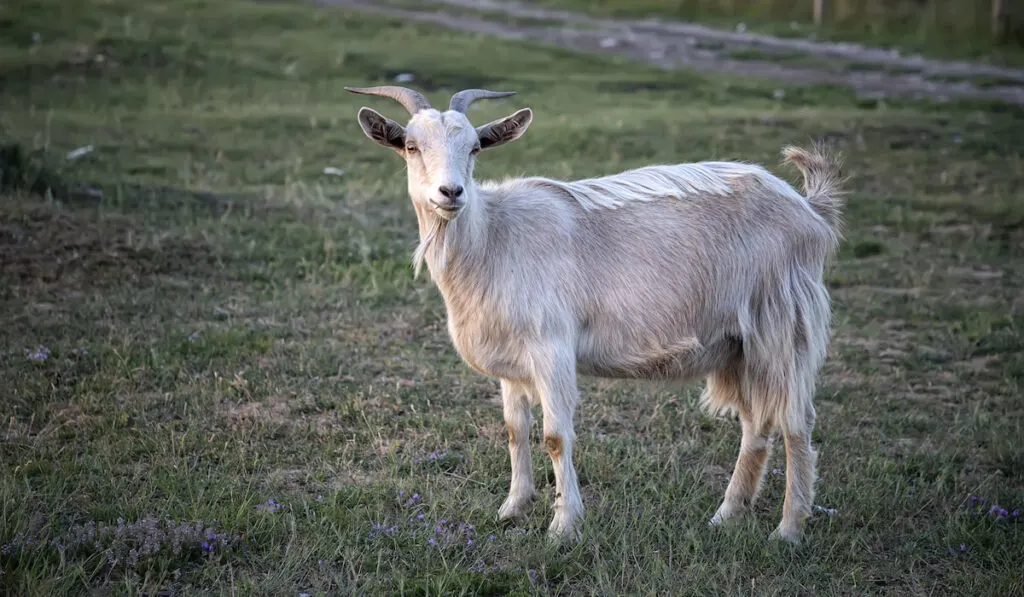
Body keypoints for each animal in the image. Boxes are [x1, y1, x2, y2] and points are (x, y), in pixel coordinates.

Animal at [348, 85, 843, 544]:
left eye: (474, 147)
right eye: (412, 146)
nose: (451, 192)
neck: (492, 237)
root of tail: (809, 209)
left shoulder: (551, 346)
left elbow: (554, 436)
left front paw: (564, 525)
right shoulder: (511, 359)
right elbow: (514, 429)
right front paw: (512, 508)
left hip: (784, 322)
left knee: (796, 423)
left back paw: (788, 530)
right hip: (739, 346)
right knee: (757, 425)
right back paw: (726, 516)